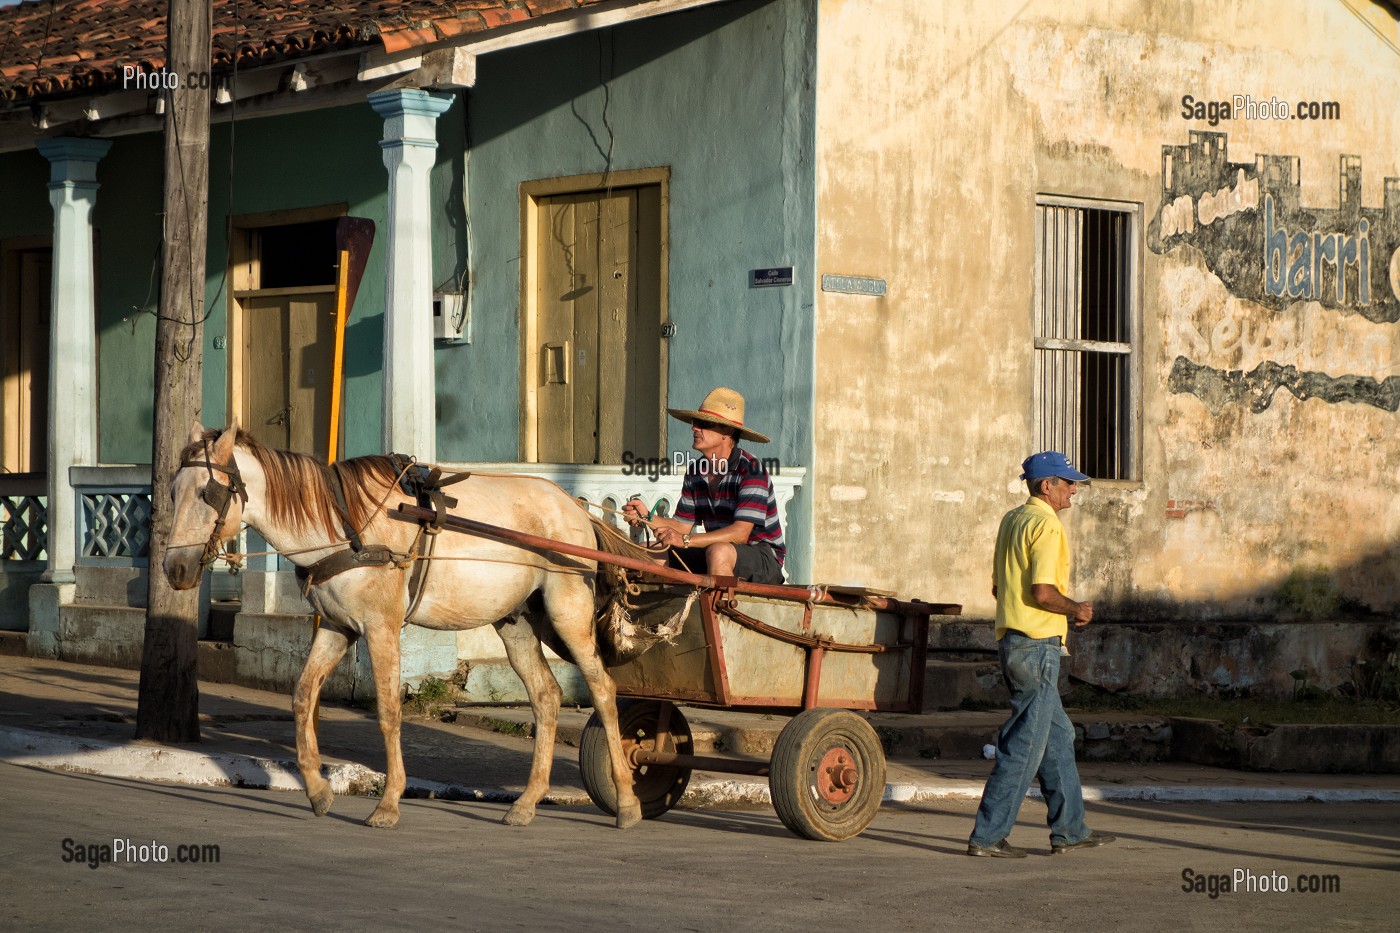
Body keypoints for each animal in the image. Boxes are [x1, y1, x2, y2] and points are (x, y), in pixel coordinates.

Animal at [163, 421, 657, 830]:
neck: (342, 525)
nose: (175, 569)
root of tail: (575, 506)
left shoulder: (381, 628)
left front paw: (388, 803)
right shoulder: (338, 627)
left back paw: (627, 802)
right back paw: (528, 801)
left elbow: (388, 710)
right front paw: (318, 791)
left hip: (568, 612)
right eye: (171, 493)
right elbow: (302, 696)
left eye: (208, 493)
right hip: (515, 620)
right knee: (546, 696)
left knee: (602, 689)